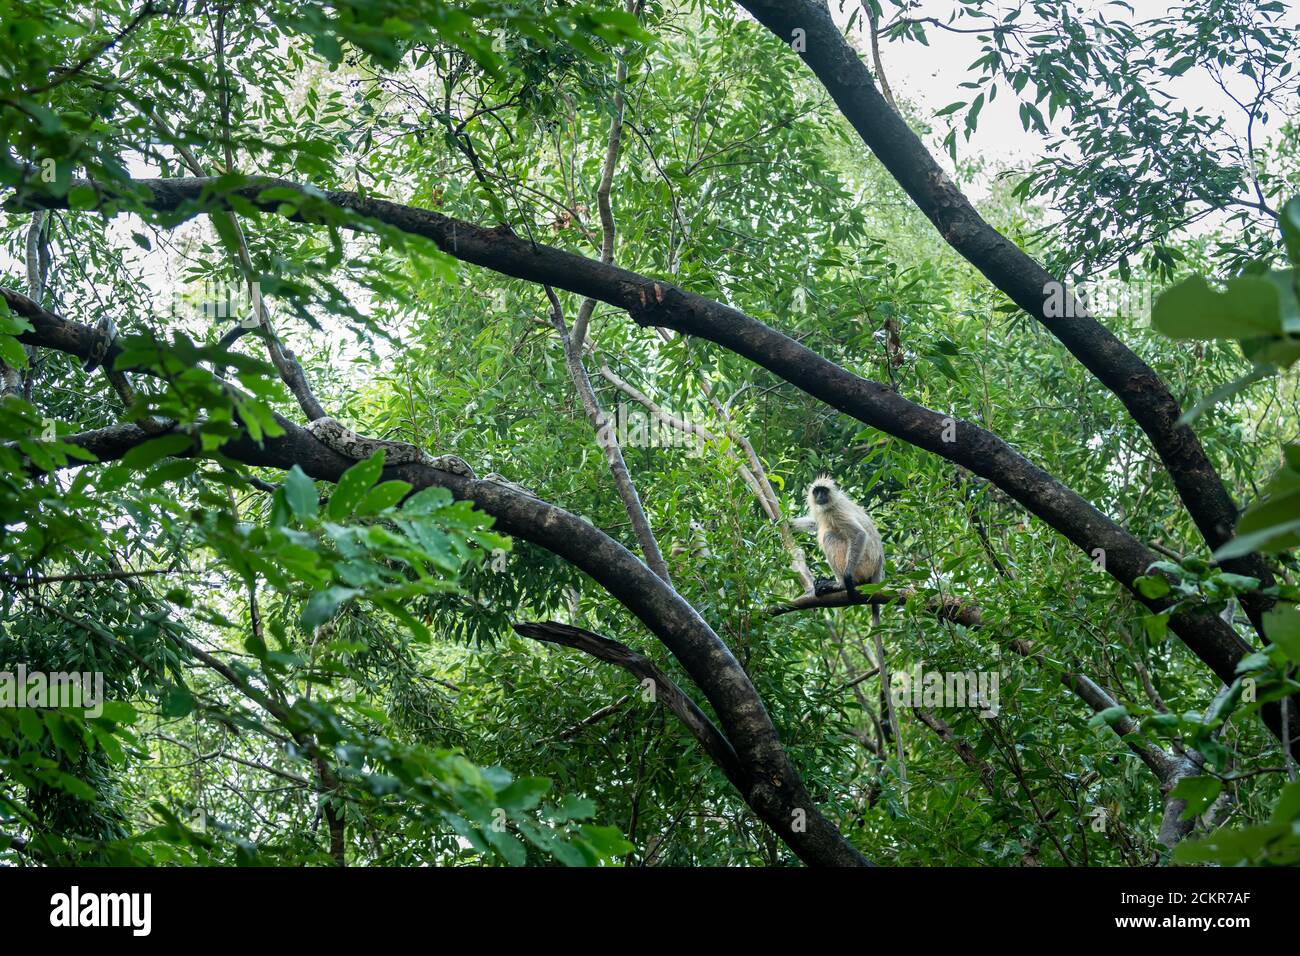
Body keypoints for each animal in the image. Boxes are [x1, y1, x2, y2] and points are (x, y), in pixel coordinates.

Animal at [792, 475, 885, 625]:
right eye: (816, 492)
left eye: (824, 491)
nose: (820, 496)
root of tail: (878, 565)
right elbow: (815, 523)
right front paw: (785, 523)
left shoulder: (835, 511)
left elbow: (859, 534)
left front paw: (846, 580)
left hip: (863, 565)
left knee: (829, 535)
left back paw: (840, 584)